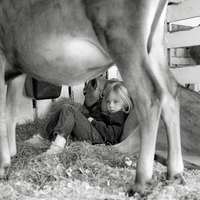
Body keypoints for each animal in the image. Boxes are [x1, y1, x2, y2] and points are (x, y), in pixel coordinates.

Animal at [0, 0, 184, 194]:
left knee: (149, 96)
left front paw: (3, 165)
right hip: (154, 47)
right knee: (171, 92)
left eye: (85, 92)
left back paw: (141, 182)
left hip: (124, 43)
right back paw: (174, 174)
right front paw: (11, 153)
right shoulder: (17, 72)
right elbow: (10, 112)